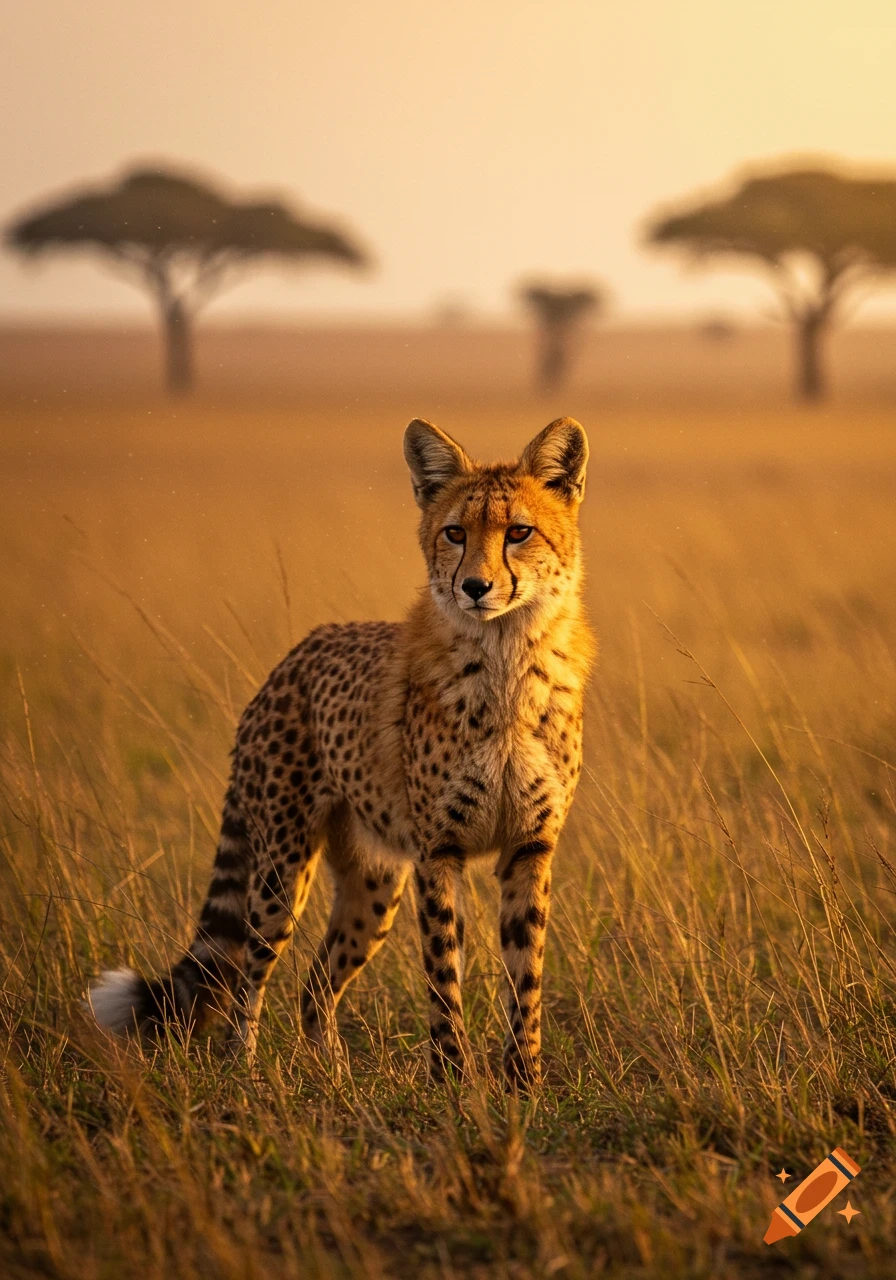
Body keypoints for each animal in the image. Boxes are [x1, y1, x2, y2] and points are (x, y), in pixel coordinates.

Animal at [89, 415, 595, 1088]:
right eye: (455, 532)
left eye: (519, 532)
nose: (474, 586)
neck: (507, 655)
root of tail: (297, 652)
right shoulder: (439, 851)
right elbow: (443, 975)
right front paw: (452, 1081)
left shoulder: (528, 849)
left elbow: (527, 975)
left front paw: (524, 1082)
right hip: (281, 868)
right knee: (251, 975)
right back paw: (243, 1070)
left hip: (374, 885)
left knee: (315, 985)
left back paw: (332, 1074)